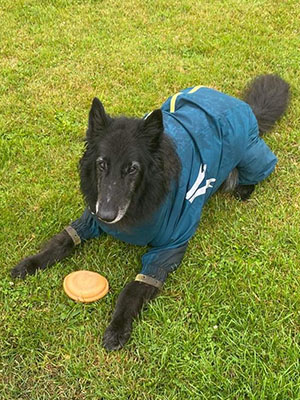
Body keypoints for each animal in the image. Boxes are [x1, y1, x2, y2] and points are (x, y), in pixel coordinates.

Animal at [10, 74, 290, 350]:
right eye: (102, 164)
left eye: (132, 168)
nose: (107, 216)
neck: (142, 199)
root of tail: (243, 107)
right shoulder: (89, 218)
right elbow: (61, 241)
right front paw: (29, 264)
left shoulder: (167, 250)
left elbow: (132, 290)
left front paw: (117, 328)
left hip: (250, 158)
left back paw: (243, 189)